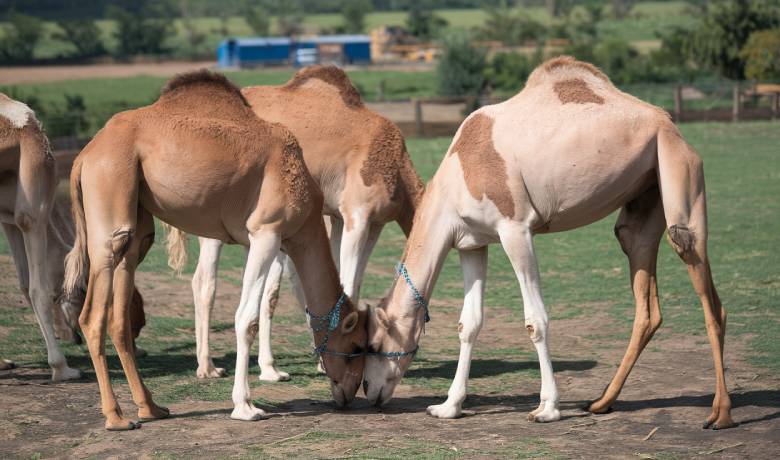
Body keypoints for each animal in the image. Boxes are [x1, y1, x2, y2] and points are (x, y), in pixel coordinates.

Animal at [62, 70, 368, 430]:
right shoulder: (267, 231)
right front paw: (245, 406)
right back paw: (116, 417)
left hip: (136, 215)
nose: (350, 394)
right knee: (93, 313)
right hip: (111, 188)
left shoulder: (255, 240)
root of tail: (85, 155)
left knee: (121, 308)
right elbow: (246, 318)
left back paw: (151, 408)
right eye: (356, 347)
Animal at [166, 65, 426, 380]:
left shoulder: (360, 220)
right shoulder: (357, 214)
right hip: (212, 215)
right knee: (204, 281)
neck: (397, 169)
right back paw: (207, 367)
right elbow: (348, 281)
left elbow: (341, 278)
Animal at [362, 57, 736, 432]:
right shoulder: (472, 243)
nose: (369, 390)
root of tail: (668, 121)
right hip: (645, 197)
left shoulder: (515, 228)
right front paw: (448, 407)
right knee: (644, 292)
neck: (459, 173)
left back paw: (720, 414)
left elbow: (535, 321)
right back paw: (602, 402)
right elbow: (469, 323)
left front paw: (547, 408)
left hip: (679, 174)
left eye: (375, 345)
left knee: (703, 281)